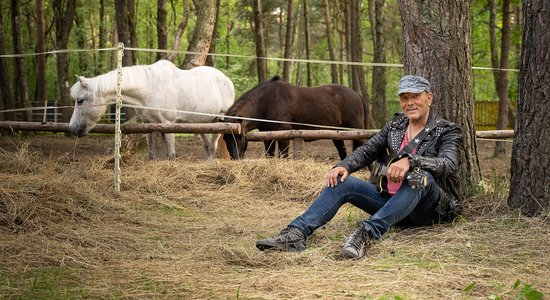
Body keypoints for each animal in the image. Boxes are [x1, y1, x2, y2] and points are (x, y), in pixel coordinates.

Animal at [68, 59, 235, 161]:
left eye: (80, 100)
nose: (73, 129)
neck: (149, 88)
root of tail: (227, 79)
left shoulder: (168, 124)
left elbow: (171, 154)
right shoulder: (147, 124)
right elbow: (151, 152)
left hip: (219, 120)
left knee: (213, 145)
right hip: (199, 123)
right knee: (207, 144)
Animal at [222, 75, 368, 159]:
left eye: (240, 136)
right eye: (225, 138)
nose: (235, 158)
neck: (265, 102)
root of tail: (357, 95)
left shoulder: (284, 135)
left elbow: (283, 157)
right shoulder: (267, 136)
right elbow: (270, 155)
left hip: (356, 130)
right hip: (336, 134)